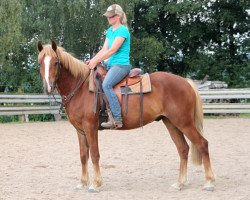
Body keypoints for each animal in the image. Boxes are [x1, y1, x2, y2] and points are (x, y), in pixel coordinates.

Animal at [37, 40, 215, 192]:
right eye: (40, 63)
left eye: (56, 62)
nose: (48, 87)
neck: (80, 88)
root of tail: (186, 82)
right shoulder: (80, 130)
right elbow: (83, 156)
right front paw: (82, 183)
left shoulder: (90, 127)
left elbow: (94, 154)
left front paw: (96, 184)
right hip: (171, 122)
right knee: (183, 149)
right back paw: (180, 183)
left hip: (184, 122)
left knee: (202, 144)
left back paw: (209, 182)